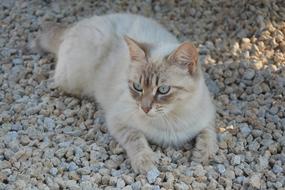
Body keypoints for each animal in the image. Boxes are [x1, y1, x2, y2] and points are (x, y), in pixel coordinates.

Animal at [36, 13, 216, 174]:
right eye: (137, 87)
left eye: (163, 90)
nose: (144, 108)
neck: (171, 119)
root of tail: (73, 27)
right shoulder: (118, 121)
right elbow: (136, 138)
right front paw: (145, 162)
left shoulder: (208, 118)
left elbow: (209, 136)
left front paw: (201, 156)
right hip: (74, 79)